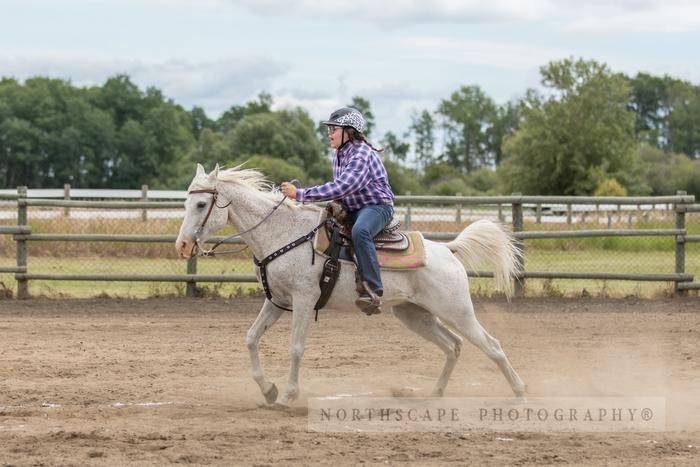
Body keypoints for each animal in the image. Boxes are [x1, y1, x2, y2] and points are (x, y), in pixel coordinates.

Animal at [175, 166, 524, 408]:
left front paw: (288, 396)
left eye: (202, 204)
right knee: (453, 346)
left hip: (457, 311)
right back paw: (434, 393)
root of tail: (447, 250)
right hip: (415, 315)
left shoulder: (304, 300)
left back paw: (520, 392)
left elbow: (296, 348)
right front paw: (269, 390)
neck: (282, 233)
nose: (182, 245)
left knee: (491, 345)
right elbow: (250, 338)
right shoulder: (277, 301)